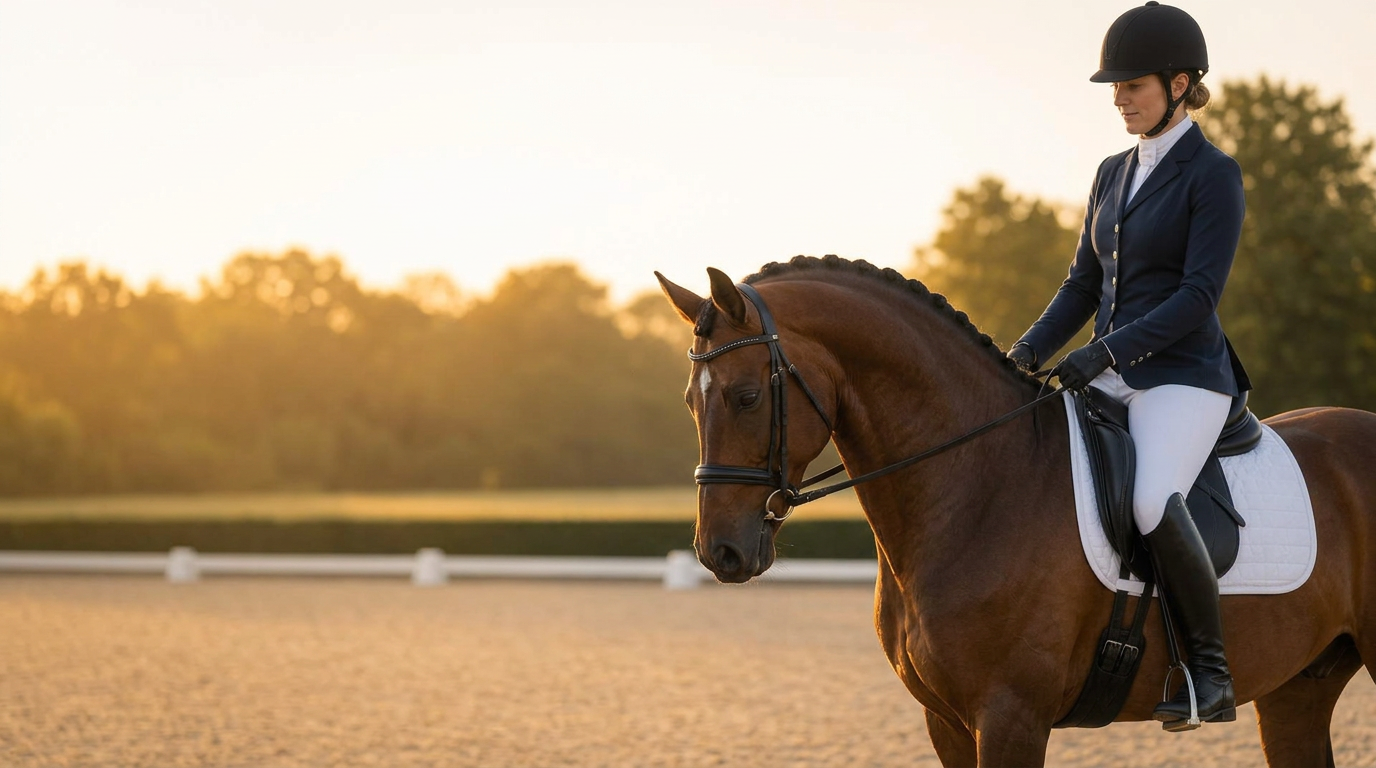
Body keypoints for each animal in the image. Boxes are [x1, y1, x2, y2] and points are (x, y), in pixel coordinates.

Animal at [655, 255, 1376, 768]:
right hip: (1296, 688)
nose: (719, 551)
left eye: (747, 396)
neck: (977, 488)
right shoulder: (946, 722)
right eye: (690, 401)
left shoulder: (1010, 718)